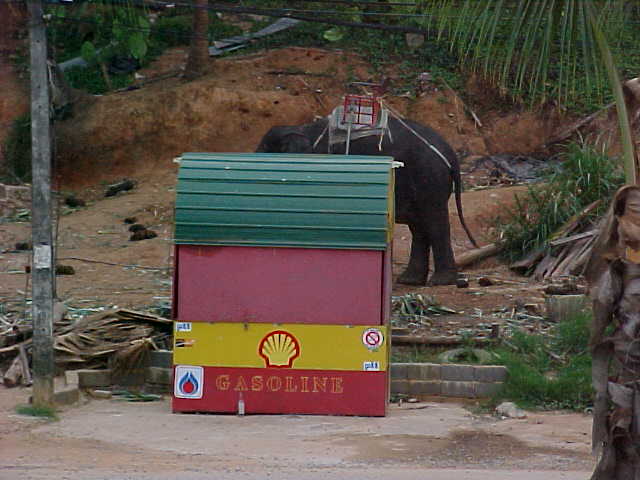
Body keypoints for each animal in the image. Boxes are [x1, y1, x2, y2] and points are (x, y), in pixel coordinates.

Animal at [255, 115, 476, 284]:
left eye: (264, 151)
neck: (301, 128)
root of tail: (451, 154)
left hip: (429, 177)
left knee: (434, 221)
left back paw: (439, 281)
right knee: (419, 227)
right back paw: (410, 280)